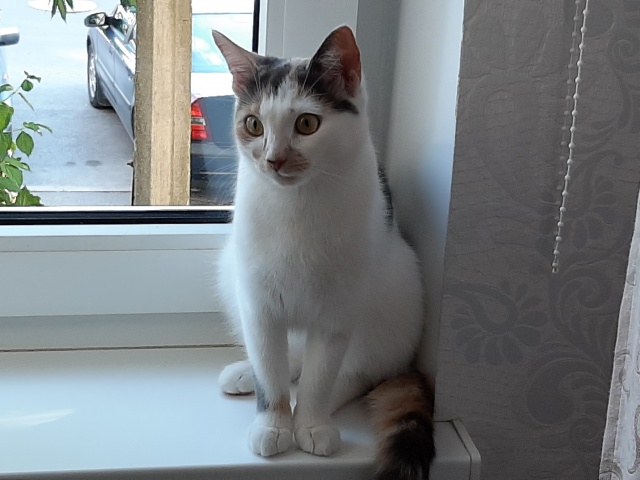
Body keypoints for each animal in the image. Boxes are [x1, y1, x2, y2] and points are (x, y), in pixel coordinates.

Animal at [212, 25, 435, 480]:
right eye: (253, 124)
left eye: (307, 123)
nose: (274, 159)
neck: (295, 205)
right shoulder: (258, 302)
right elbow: (270, 370)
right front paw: (272, 423)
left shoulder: (337, 311)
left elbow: (321, 377)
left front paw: (309, 424)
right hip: (230, 270)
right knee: (284, 358)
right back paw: (246, 373)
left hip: (397, 295)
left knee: (359, 373)